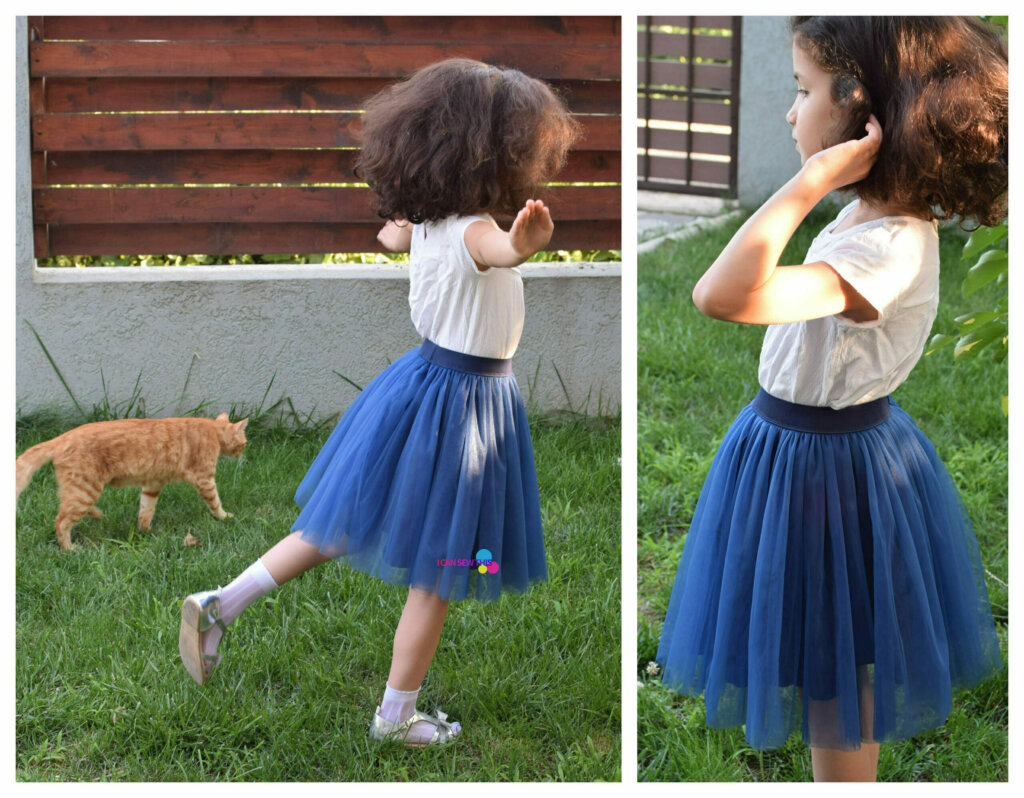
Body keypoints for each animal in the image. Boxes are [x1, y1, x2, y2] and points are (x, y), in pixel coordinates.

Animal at [17, 411, 248, 549]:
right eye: (244, 443)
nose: (243, 454)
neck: (213, 431)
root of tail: (61, 437)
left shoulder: (152, 484)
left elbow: (146, 510)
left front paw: (145, 531)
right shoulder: (204, 479)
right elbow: (215, 502)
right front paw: (225, 517)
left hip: (81, 492)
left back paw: (96, 514)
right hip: (85, 490)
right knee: (61, 520)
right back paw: (70, 549)